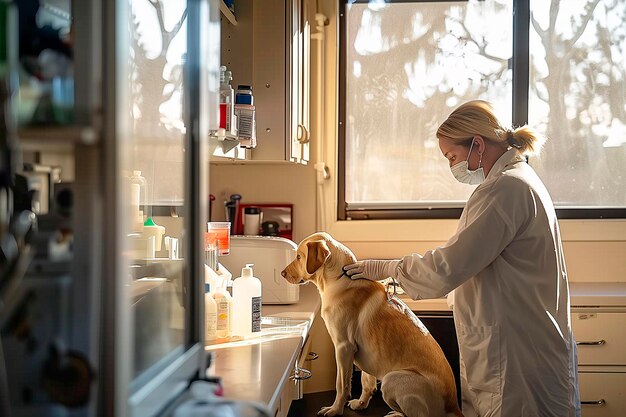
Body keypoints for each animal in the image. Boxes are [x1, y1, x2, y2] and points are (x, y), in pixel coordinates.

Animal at [280, 232, 460, 414]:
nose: (282, 273)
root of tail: (453, 405)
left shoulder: (343, 347)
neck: (339, 278)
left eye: (298, 256)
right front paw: (361, 403)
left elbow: (342, 385)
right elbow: (366, 382)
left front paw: (335, 409)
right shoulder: (367, 354)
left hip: (391, 379)